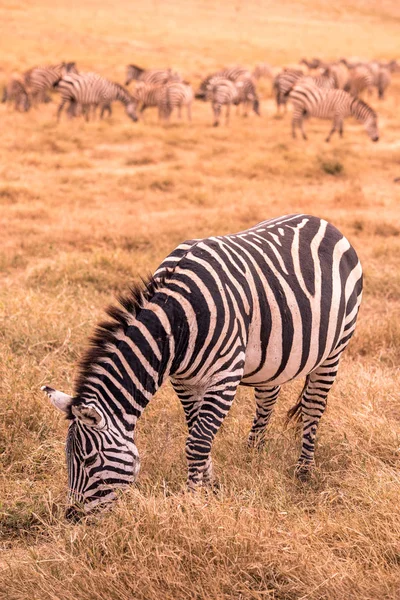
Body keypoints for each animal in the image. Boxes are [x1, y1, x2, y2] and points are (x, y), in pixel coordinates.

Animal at [43, 212, 362, 516]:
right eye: (67, 459)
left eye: (88, 460)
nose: (72, 517)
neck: (176, 323)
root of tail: (322, 221)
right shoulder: (184, 380)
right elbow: (197, 431)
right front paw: (210, 486)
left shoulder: (225, 375)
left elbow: (197, 441)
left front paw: (192, 499)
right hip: (272, 357)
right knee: (267, 398)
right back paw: (253, 454)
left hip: (334, 349)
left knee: (313, 406)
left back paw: (304, 470)